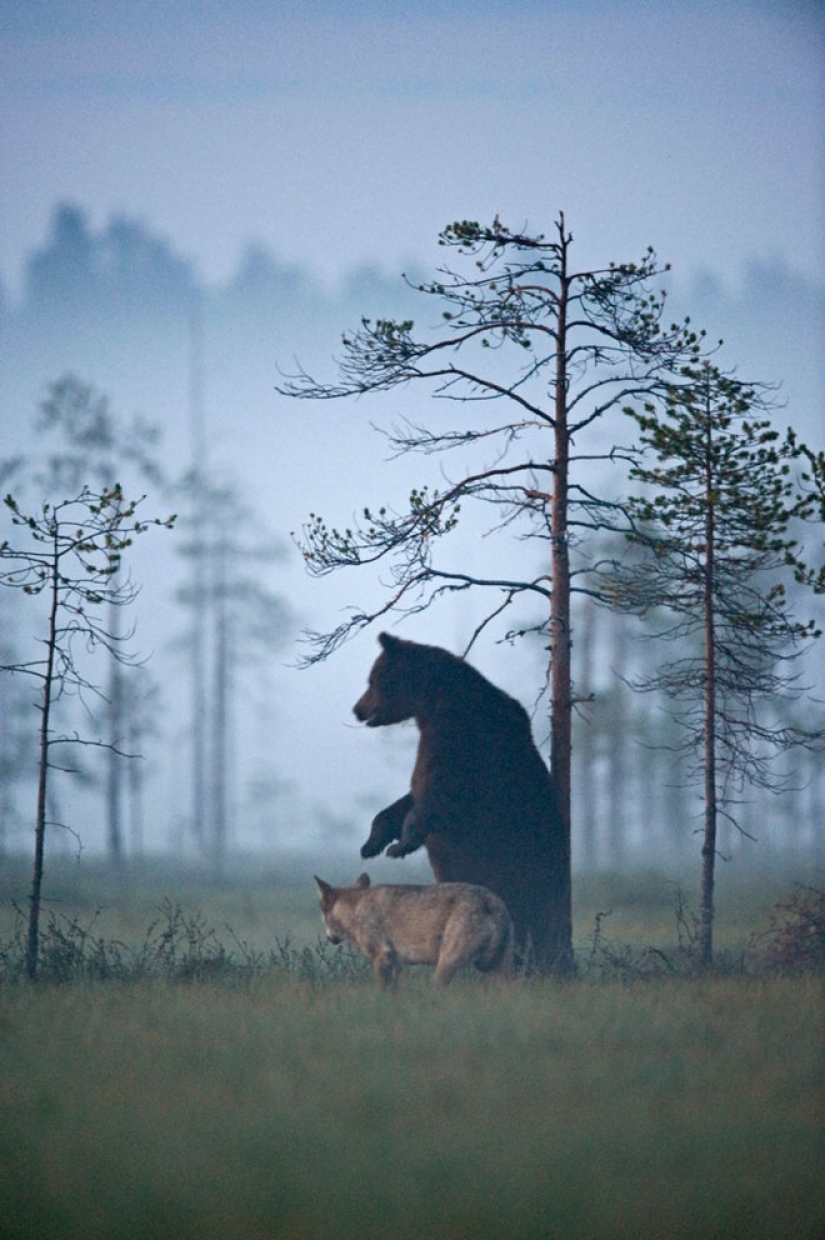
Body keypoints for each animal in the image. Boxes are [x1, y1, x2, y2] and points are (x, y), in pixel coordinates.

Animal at [314, 873, 514, 988]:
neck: (356, 909)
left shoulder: (382, 955)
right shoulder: (395, 963)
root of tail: (491, 900)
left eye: (322, 912)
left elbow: (381, 991)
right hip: (500, 971)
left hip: (444, 968)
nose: (329, 938)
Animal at [353, 631, 570, 971]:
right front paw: (372, 843)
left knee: (527, 912)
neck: (433, 703)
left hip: (520, 865)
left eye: (373, 679)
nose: (357, 709)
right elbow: (409, 796)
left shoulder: (460, 739)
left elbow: (436, 793)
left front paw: (401, 845)